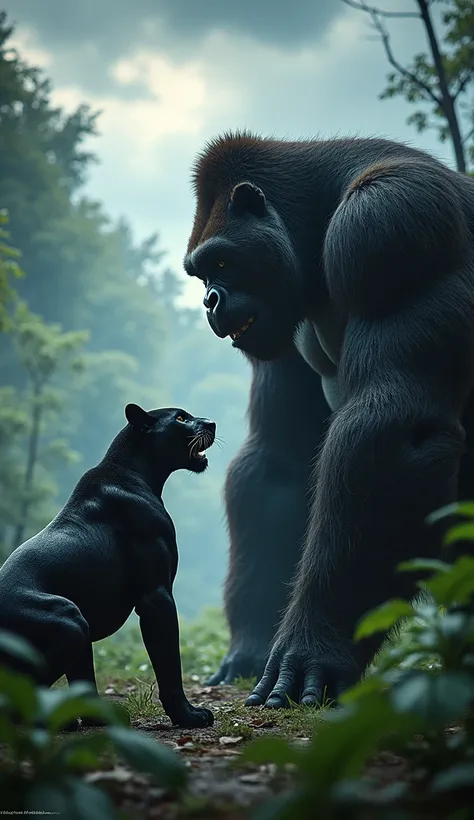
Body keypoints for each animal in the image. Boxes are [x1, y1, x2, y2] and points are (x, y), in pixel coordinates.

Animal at [183, 131, 474, 708]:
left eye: (221, 264)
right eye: (200, 273)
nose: (209, 302)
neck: (319, 209)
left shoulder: (390, 224)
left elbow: (388, 432)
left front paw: (317, 645)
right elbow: (276, 462)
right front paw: (251, 646)